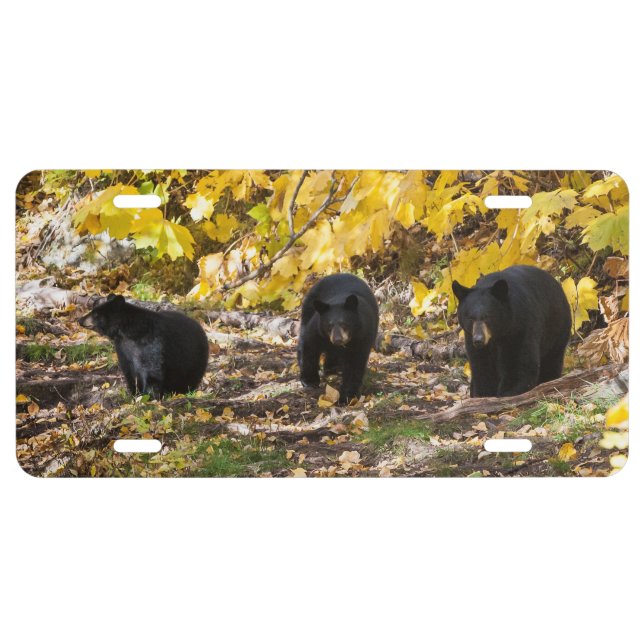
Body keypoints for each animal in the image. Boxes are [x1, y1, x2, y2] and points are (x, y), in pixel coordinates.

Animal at [78, 294, 209, 398]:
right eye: (93, 310)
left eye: (96, 314)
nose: (80, 320)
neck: (126, 332)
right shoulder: (123, 348)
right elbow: (129, 370)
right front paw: (134, 394)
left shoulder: (151, 342)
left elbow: (152, 369)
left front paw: (149, 396)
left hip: (194, 358)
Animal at [298, 273, 379, 404]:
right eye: (329, 325)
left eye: (344, 324)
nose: (337, 339)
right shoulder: (317, 330)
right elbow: (309, 346)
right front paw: (309, 381)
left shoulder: (362, 337)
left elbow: (354, 365)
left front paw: (346, 397)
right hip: (308, 309)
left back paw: (333, 369)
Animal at [452, 265, 571, 398]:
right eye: (470, 317)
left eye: (487, 316)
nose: (479, 339)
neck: (497, 335)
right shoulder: (471, 338)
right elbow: (482, 366)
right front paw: (484, 393)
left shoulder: (519, 328)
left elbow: (518, 363)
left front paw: (508, 392)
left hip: (557, 328)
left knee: (552, 359)